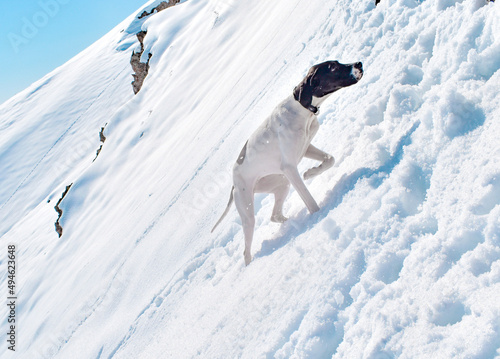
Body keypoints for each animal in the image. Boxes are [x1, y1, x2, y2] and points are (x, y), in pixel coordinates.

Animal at [211, 60, 364, 266]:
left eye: (338, 62)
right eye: (332, 67)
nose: (359, 63)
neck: (302, 110)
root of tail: (233, 185)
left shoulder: (305, 148)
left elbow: (330, 159)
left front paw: (311, 172)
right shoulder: (290, 168)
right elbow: (309, 199)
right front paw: (319, 215)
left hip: (281, 183)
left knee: (275, 215)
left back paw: (291, 222)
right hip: (248, 211)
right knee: (246, 251)